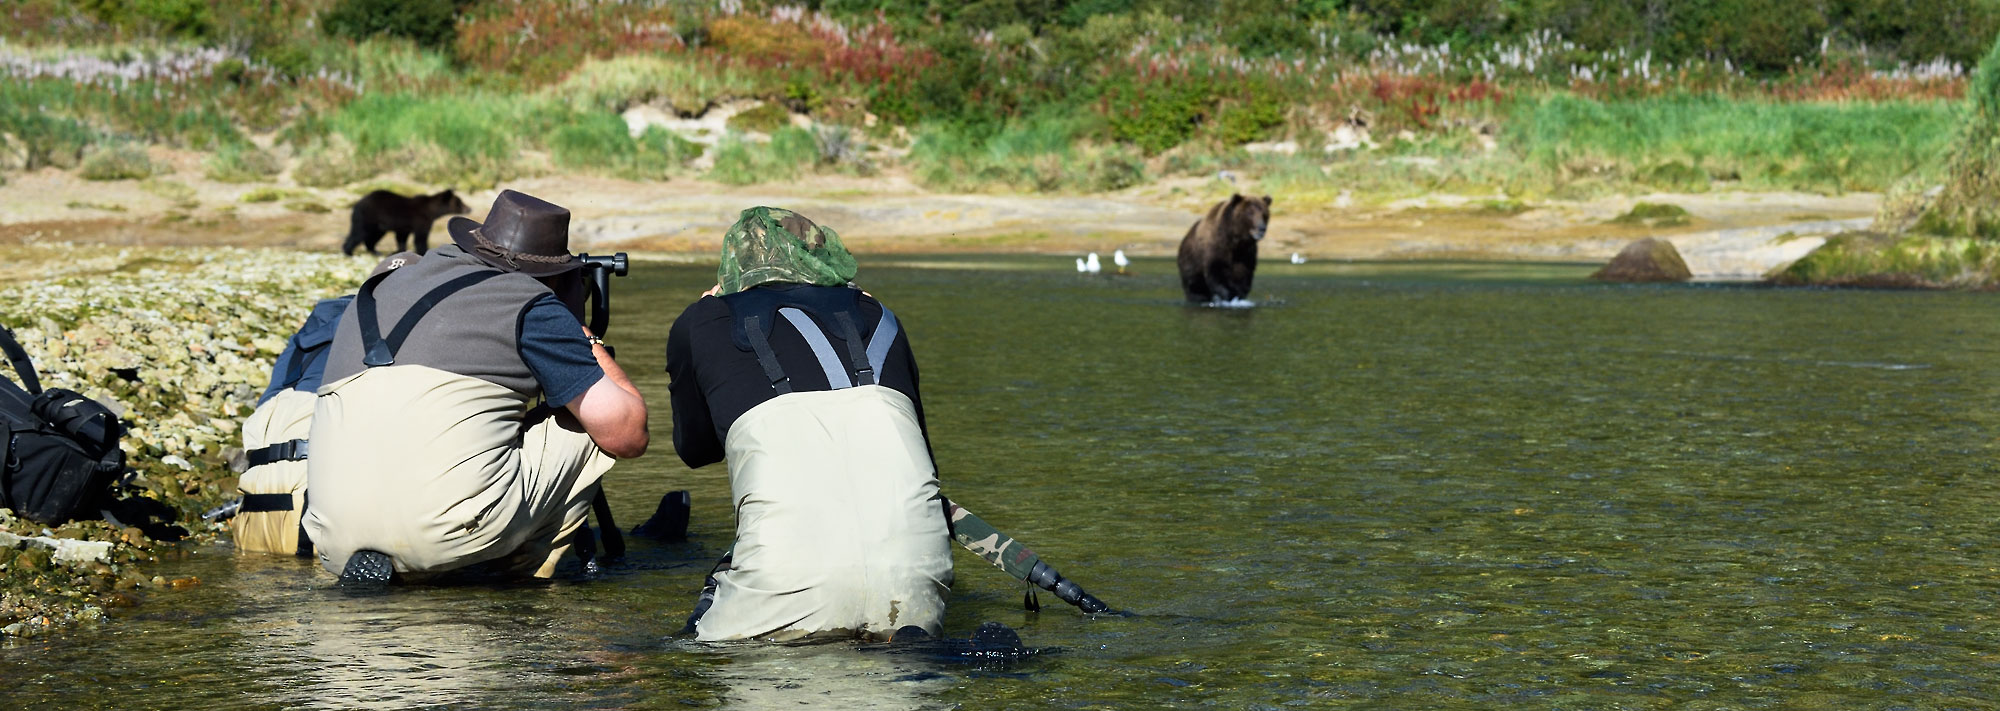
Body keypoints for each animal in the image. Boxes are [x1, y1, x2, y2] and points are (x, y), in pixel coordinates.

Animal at [344, 188, 472, 255]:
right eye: (459, 202)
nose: (469, 208)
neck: (432, 211)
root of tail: (357, 203)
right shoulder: (421, 220)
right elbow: (421, 238)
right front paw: (423, 250)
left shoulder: (404, 227)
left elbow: (402, 238)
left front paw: (398, 250)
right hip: (368, 217)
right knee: (359, 233)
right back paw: (348, 251)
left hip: (378, 225)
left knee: (372, 236)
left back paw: (374, 250)